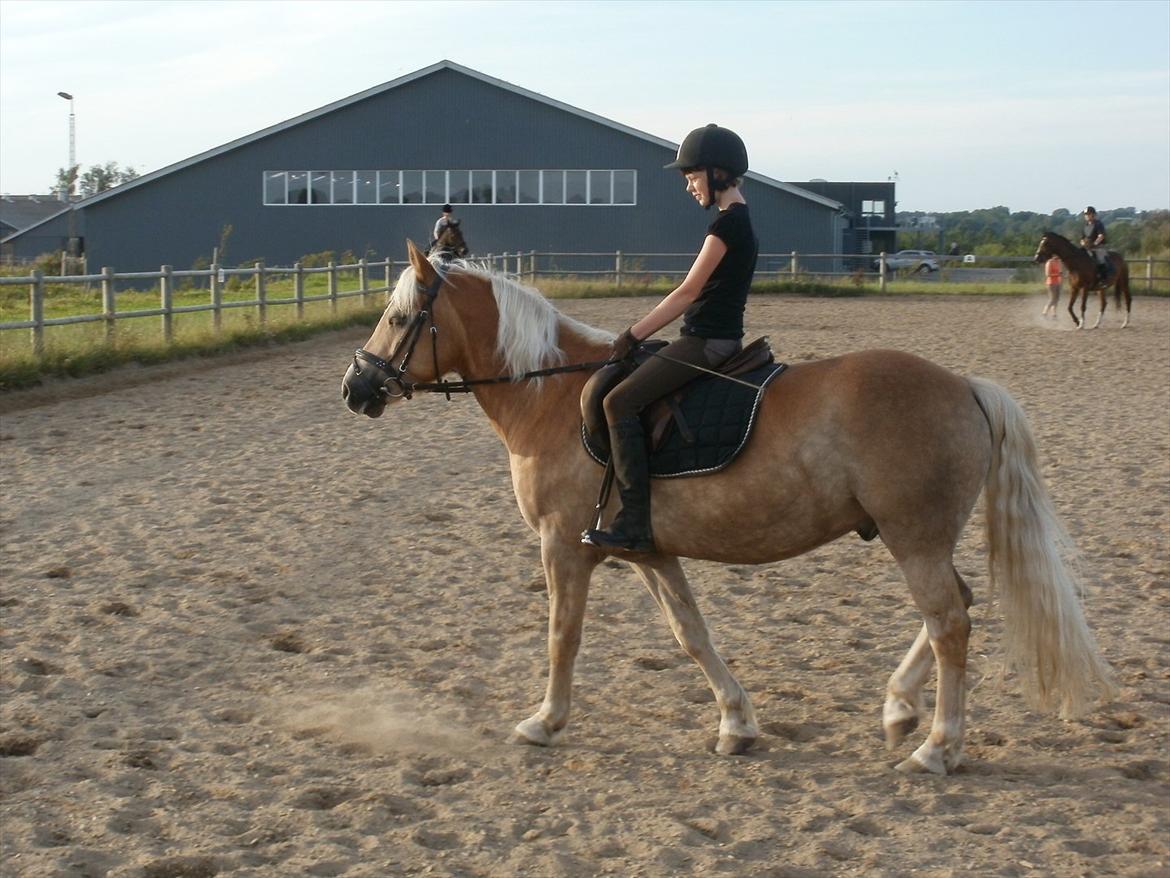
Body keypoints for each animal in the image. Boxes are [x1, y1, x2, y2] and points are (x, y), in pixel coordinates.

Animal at [341, 241, 1113, 777]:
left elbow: (564, 635)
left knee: (951, 623)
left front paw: (544, 722)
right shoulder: (646, 549)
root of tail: (964, 386)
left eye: (400, 317)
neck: (551, 395)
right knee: (955, 608)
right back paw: (899, 708)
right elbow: (691, 634)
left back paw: (936, 749)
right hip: (919, 539)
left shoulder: (563, 545)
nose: (356, 388)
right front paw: (737, 724)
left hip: (913, 537)